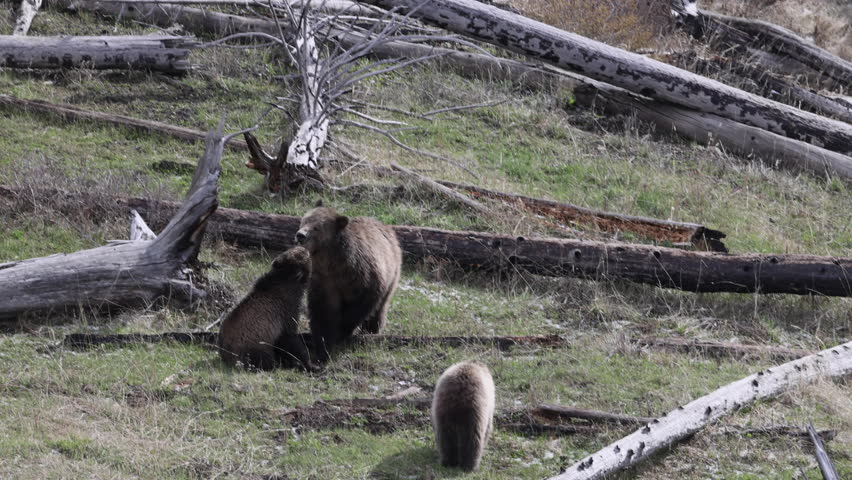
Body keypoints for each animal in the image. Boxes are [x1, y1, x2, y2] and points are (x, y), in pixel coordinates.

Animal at [295, 203, 402, 363]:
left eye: (316, 227)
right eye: (304, 220)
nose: (300, 235)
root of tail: (386, 227)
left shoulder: (364, 277)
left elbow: (361, 306)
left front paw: (343, 330)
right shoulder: (324, 282)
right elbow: (323, 313)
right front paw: (323, 344)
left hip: (392, 272)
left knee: (380, 306)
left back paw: (372, 329)